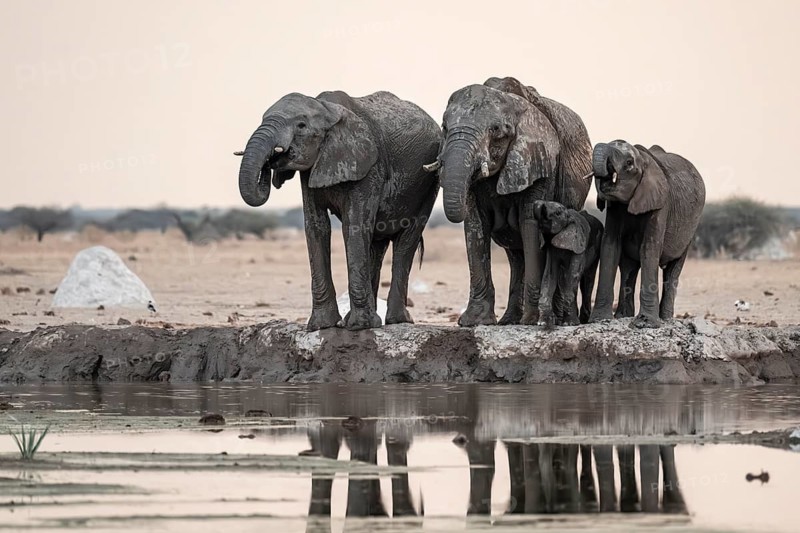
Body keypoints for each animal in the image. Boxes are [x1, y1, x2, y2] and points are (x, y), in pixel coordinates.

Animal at [237, 91, 441, 331]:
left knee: (406, 240)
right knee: (376, 243)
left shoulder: (369, 166)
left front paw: (360, 326)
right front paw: (322, 326)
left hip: (430, 182)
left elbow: (354, 227)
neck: (327, 110)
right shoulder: (311, 170)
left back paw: (396, 320)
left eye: (301, 125)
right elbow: (316, 228)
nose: (270, 163)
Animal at [426, 76, 592, 326]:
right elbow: (476, 226)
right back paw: (509, 320)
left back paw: (555, 319)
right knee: (516, 255)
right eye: (445, 127)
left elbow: (530, 224)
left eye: (496, 130)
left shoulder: (540, 164)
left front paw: (533, 321)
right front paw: (475, 321)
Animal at [589, 141, 706, 328]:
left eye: (629, 163)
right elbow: (610, 247)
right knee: (629, 268)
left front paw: (645, 324)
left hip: (690, 230)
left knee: (673, 270)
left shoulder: (661, 203)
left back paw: (665, 319)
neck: (643, 159)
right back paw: (623, 316)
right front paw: (599, 320)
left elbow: (649, 248)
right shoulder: (614, 208)